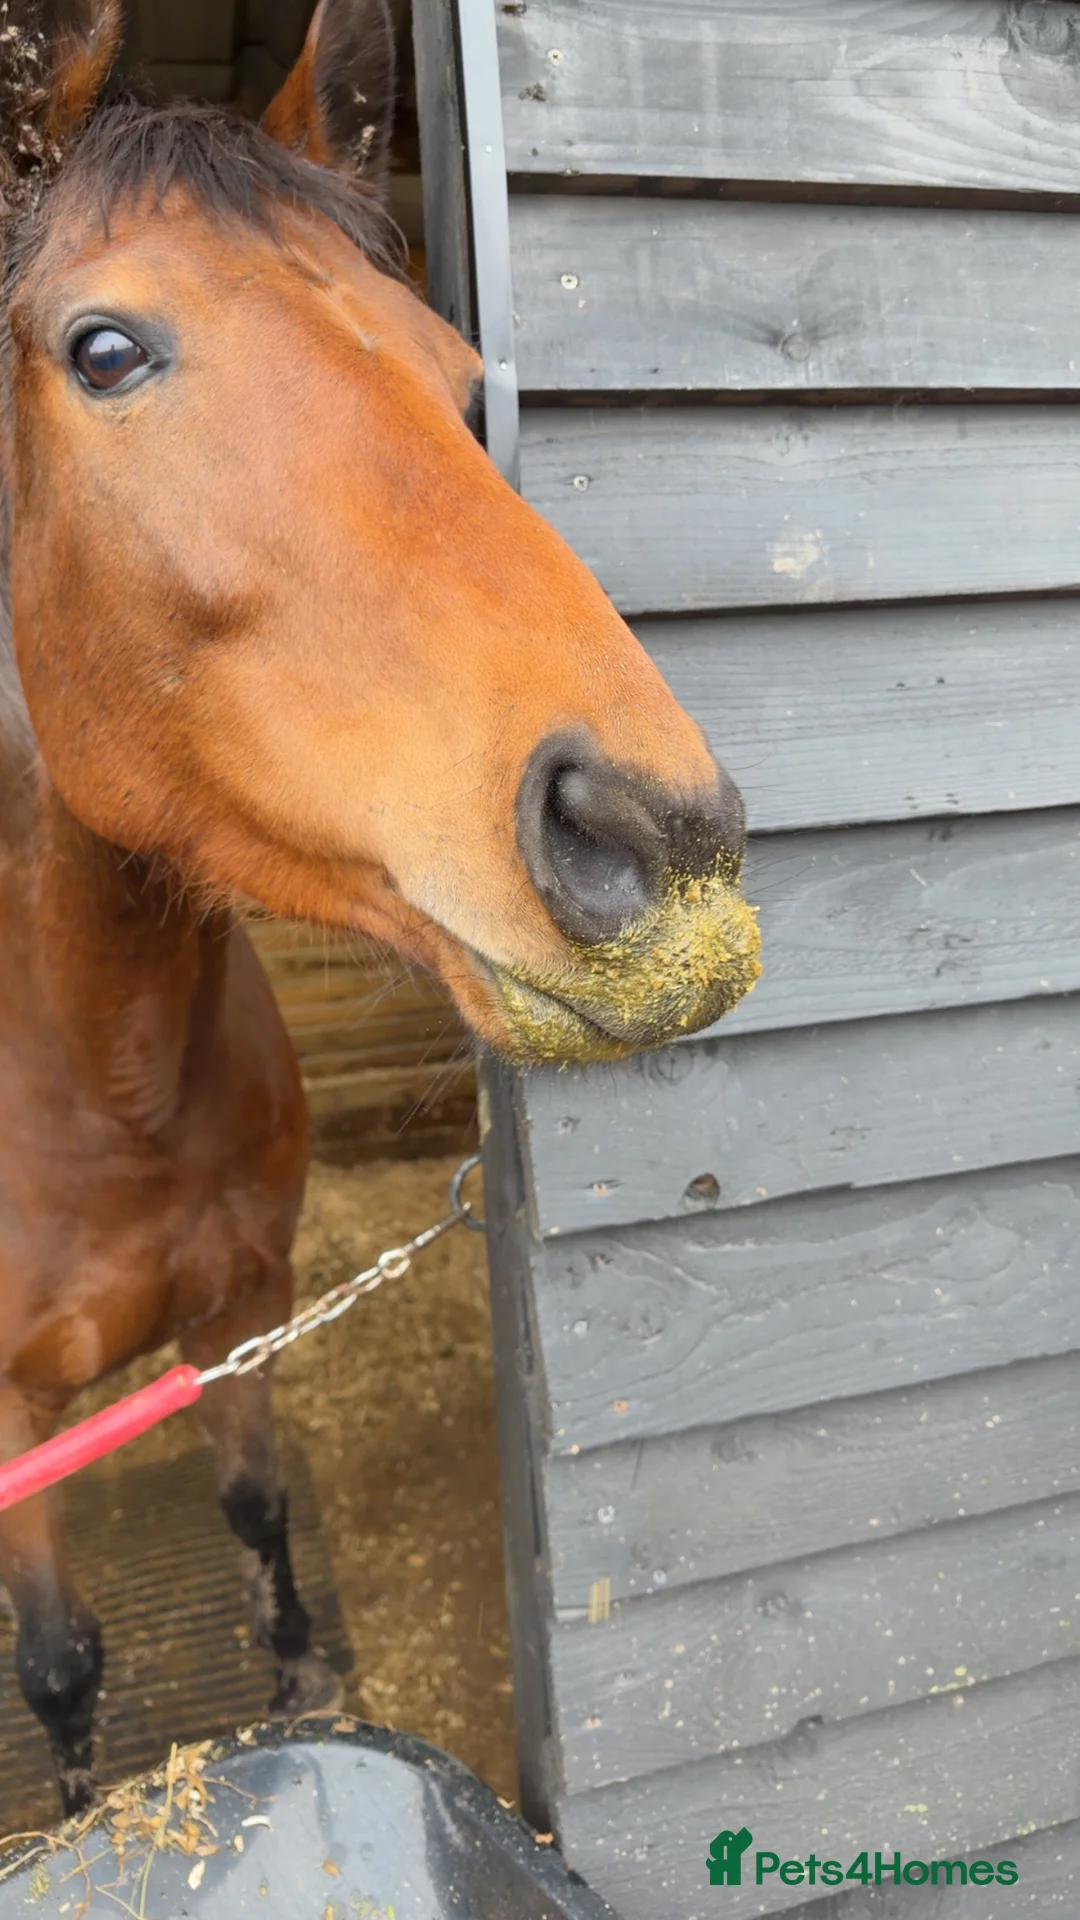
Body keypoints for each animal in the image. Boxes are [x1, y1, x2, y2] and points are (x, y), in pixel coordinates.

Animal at [0, 0, 760, 1818]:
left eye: (462, 382)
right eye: (105, 351)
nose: (657, 833)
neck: (94, 1075)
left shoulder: (248, 1308)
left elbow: (259, 1514)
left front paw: (300, 1701)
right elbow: (58, 1661)